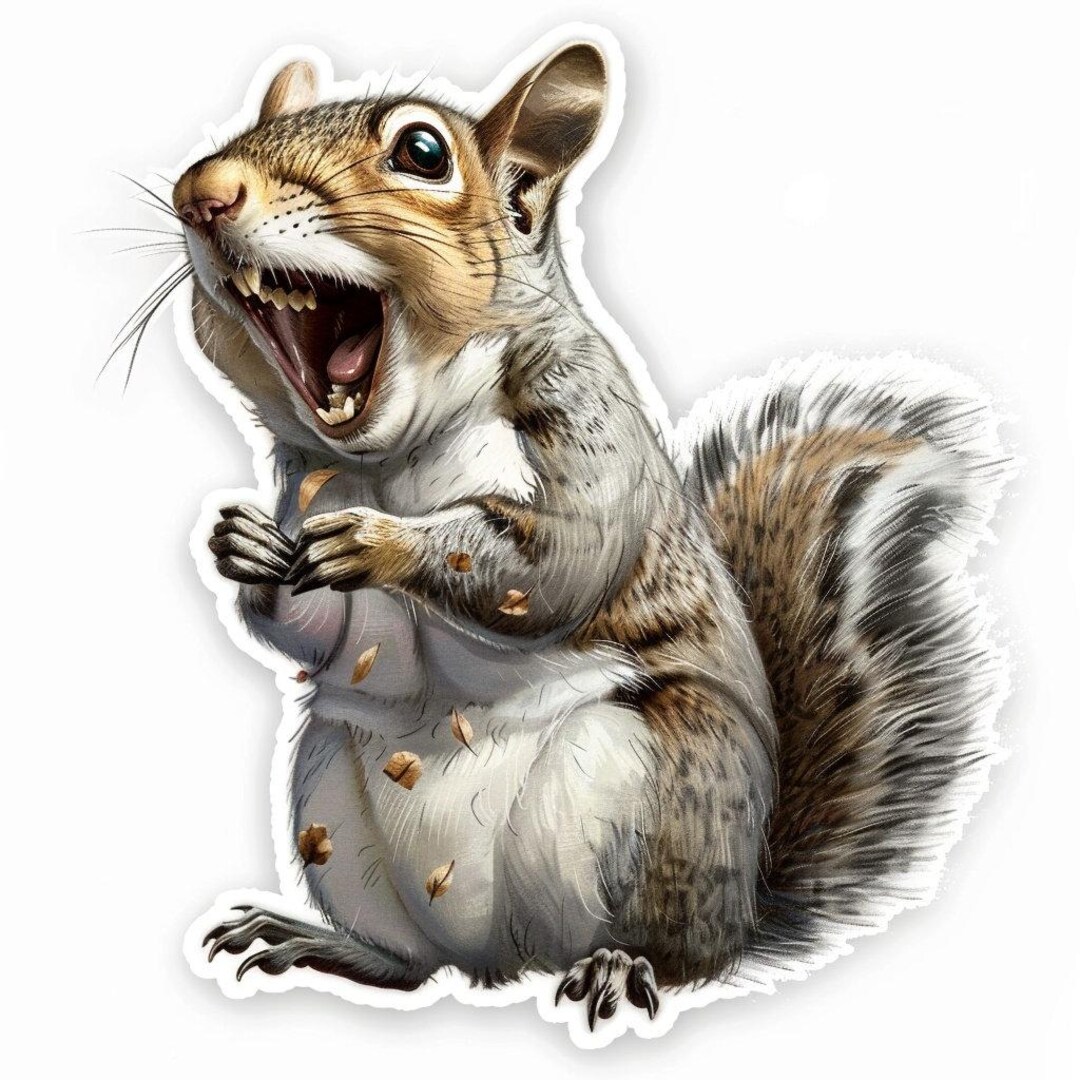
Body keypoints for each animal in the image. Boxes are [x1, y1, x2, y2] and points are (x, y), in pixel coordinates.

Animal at [165, 36, 1009, 1036]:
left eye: (422, 152)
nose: (203, 193)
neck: (398, 450)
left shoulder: (586, 421)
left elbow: (553, 562)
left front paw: (384, 542)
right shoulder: (307, 484)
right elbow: (339, 637)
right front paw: (246, 555)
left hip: (656, 787)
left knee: (676, 958)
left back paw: (616, 964)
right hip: (329, 790)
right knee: (414, 968)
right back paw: (327, 943)